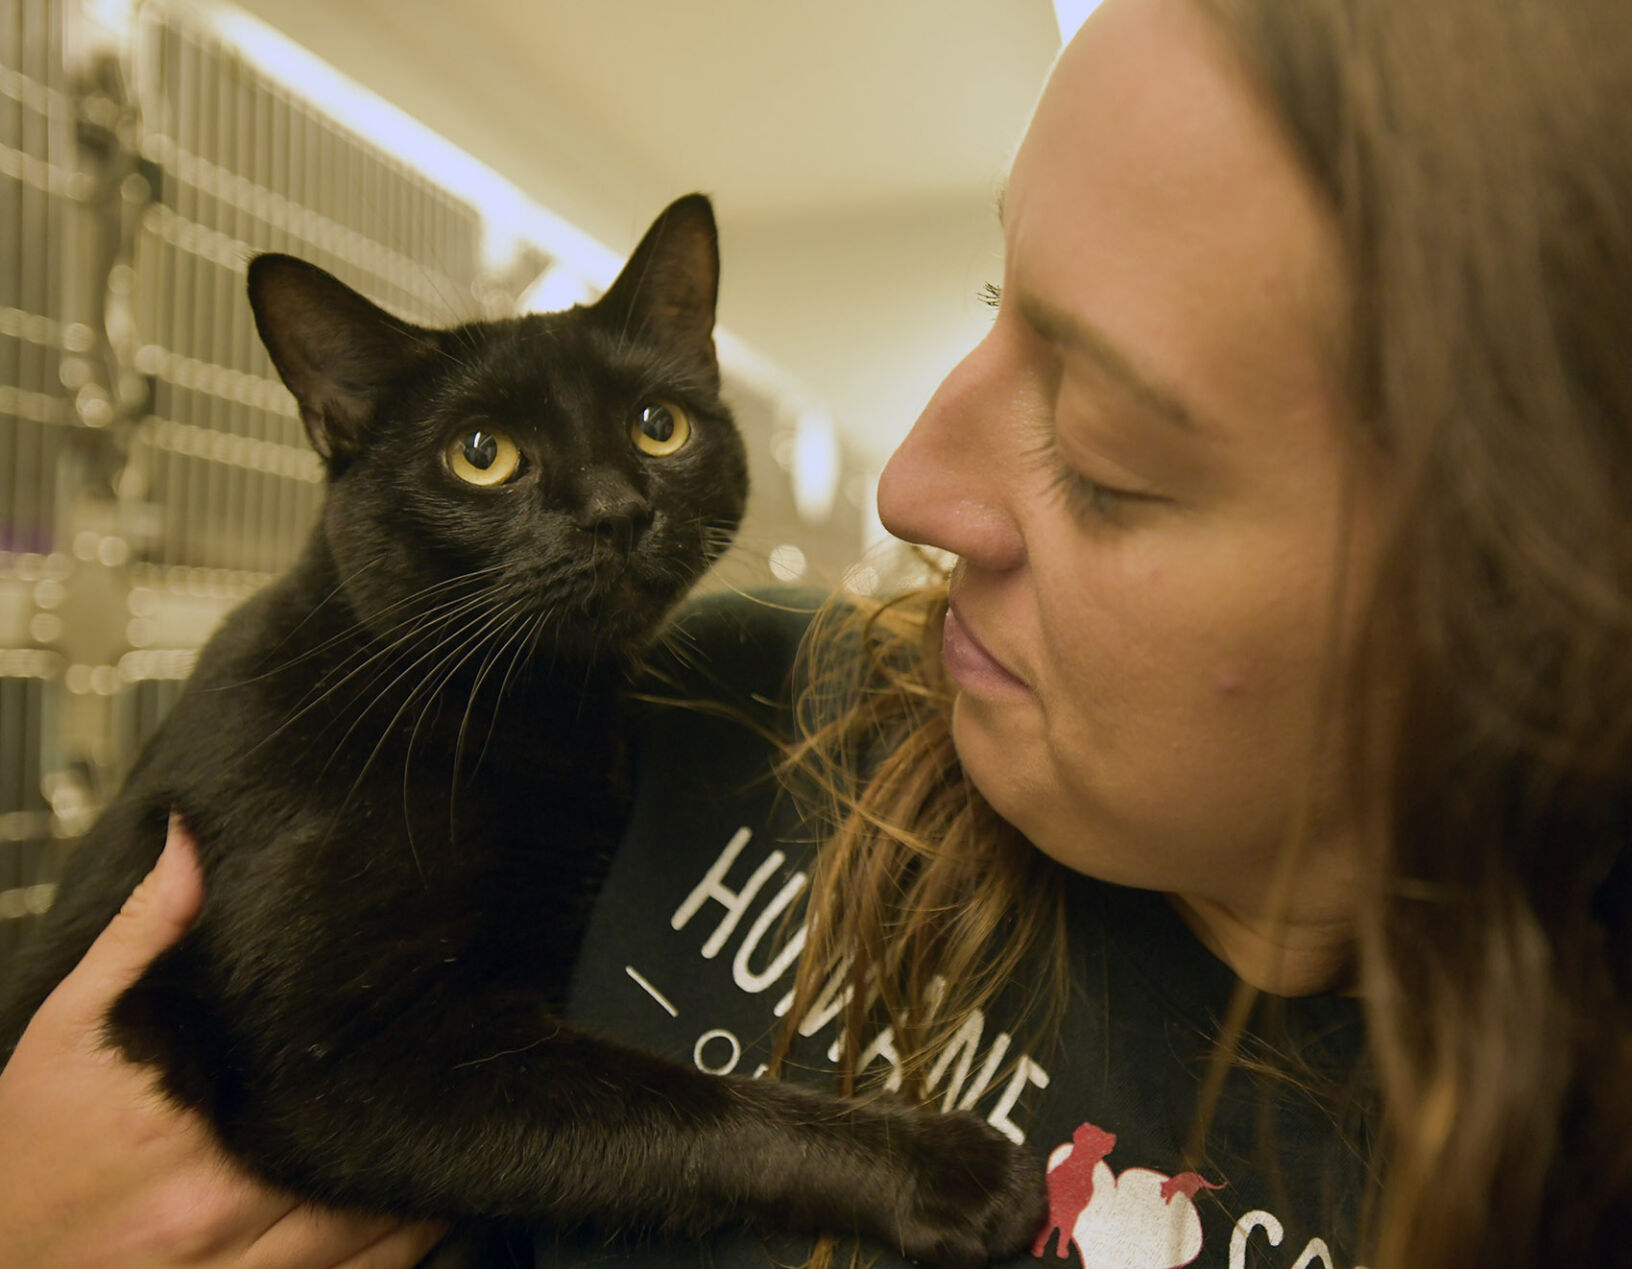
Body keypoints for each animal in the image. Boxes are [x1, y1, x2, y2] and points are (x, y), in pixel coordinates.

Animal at [0, 192, 1044, 1259]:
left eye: (658, 426)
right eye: (481, 454)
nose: (618, 508)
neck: (528, 711)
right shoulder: (336, 1058)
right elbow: (677, 1107)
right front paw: (940, 1167)